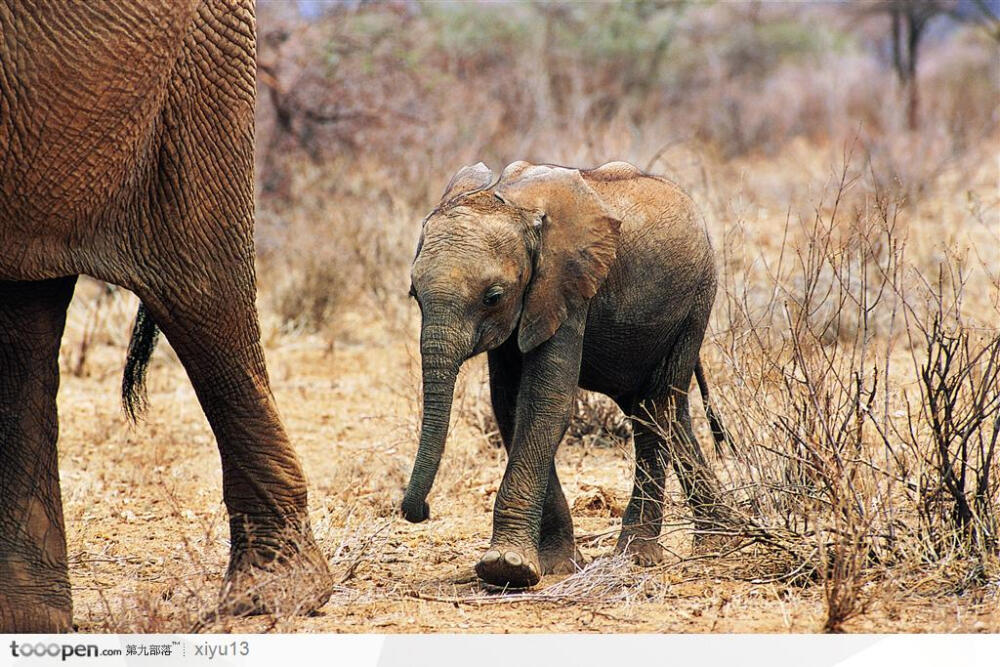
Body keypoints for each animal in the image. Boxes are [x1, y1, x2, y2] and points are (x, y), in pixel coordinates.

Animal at [400, 159, 736, 588]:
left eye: (493, 297)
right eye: (414, 294)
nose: (420, 511)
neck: (515, 206)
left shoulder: (567, 287)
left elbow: (545, 404)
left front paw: (505, 567)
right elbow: (510, 407)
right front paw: (555, 565)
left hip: (696, 302)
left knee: (654, 413)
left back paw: (636, 557)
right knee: (670, 416)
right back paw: (718, 540)